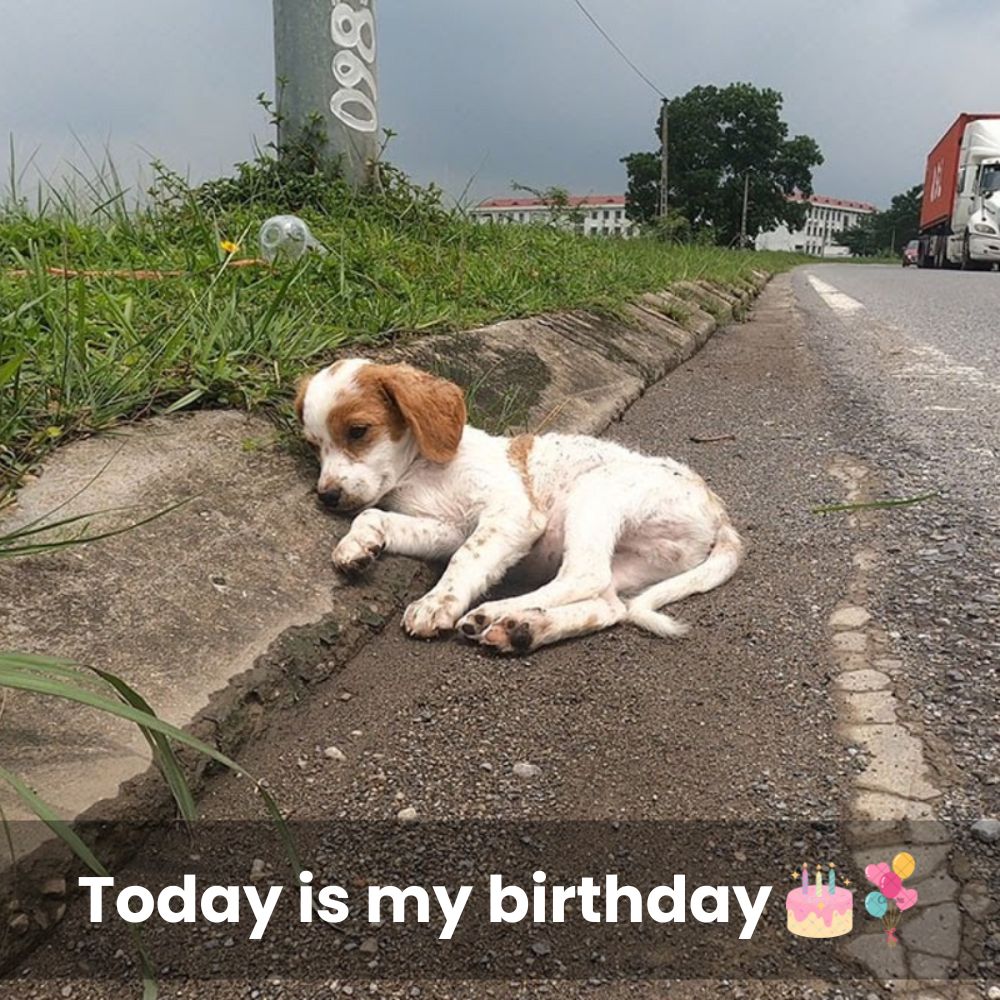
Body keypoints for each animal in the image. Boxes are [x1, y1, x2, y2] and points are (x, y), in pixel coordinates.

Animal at [296, 360, 744, 656]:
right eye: (313, 446)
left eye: (358, 431)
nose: (326, 496)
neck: (420, 468)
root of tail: (719, 513)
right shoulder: (446, 528)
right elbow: (374, 514)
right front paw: (357, 546)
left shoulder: (510, 515)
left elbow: (465, 558)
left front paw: (436, 602)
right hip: (639, 560)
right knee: (607, 603)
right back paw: (528, 626)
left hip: (597, 491)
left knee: (584, 575)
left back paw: (494, 612)